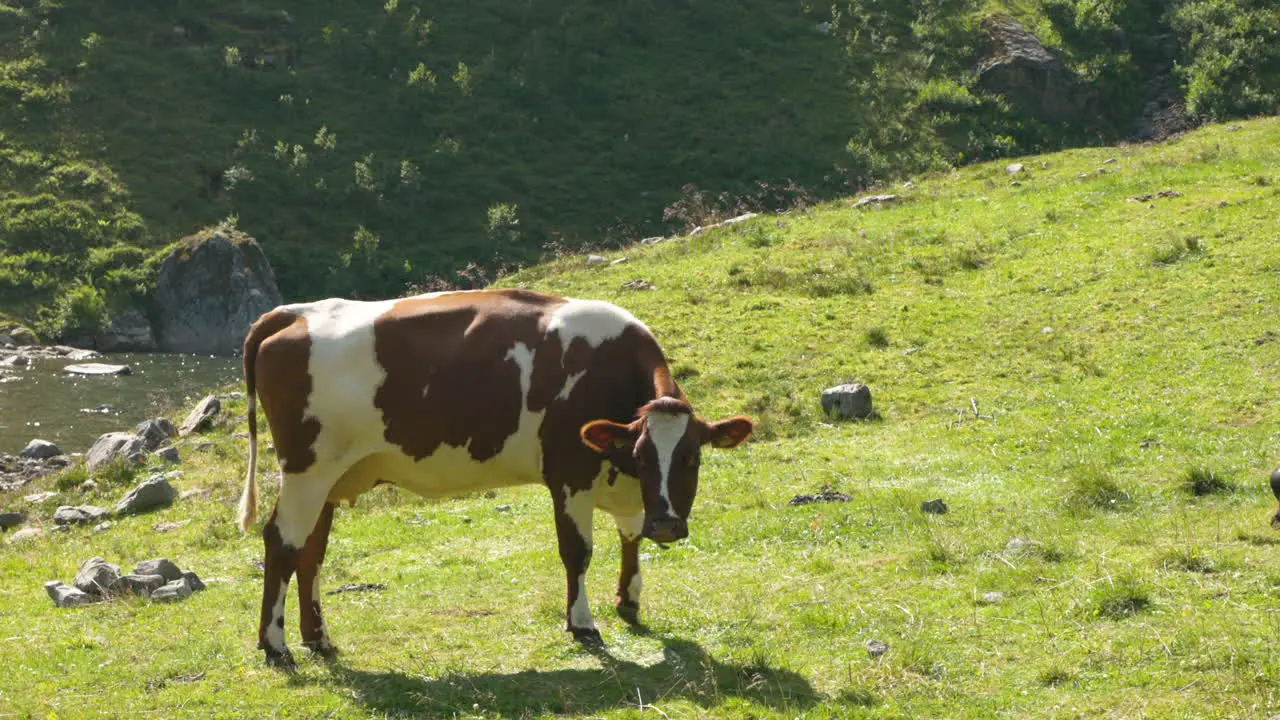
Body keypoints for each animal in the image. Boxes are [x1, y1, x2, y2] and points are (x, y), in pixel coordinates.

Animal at [236, 286, 752, 666]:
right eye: (643, 456)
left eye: (692, 458)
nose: (666, 525)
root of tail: (294, 312)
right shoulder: (570, 473)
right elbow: (578, 552)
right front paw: (582, 624)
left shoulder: (621, 483)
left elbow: (630, 536)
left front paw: (629, 600)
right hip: (306, 470)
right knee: (281, 542)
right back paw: (276, 646)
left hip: (330, 477)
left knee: (310, 554)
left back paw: (318, 638)